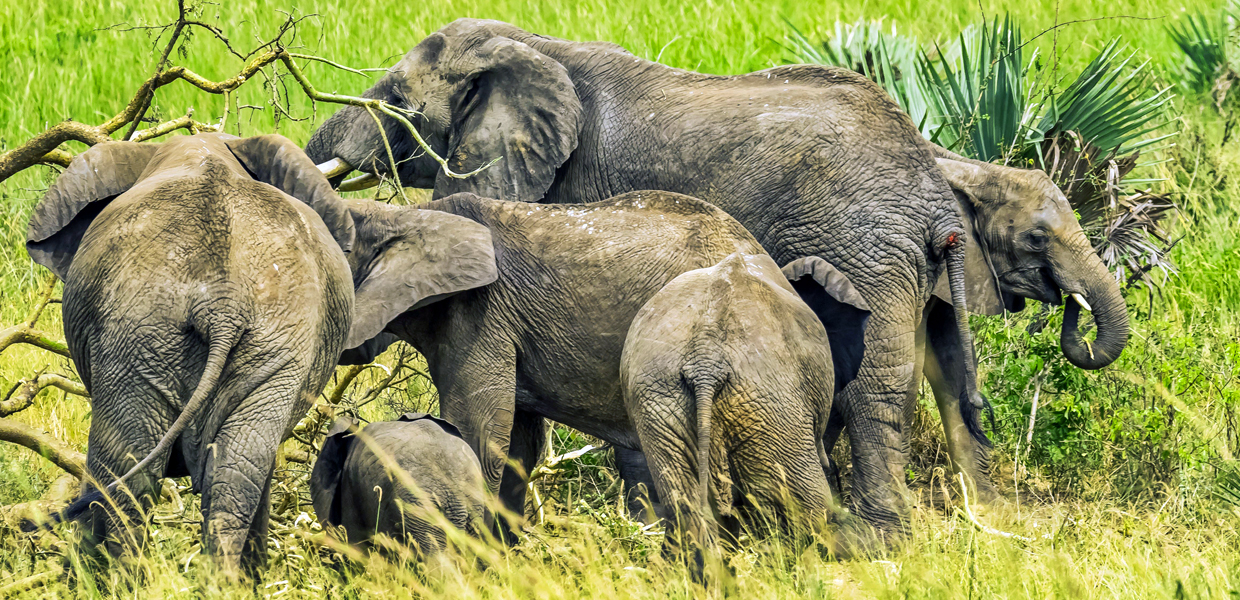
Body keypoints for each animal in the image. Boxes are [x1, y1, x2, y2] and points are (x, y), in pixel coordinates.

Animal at [21, 133, 362, 575]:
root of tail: (222, 301)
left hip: (139, 332)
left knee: (123, 471)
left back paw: (118, 580)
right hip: (269, 339)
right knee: (236, 469)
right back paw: (224, 581)